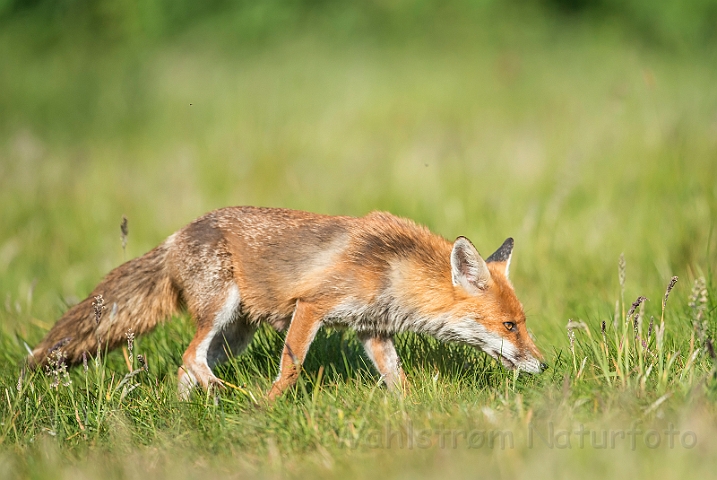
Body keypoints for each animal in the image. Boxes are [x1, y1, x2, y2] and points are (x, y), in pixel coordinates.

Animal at [28, 208, 544, 400]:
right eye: (510, 326)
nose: (543, 364)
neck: (390, 269)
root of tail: (176, 236)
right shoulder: (311, 306)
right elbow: (291, 369)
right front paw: (270, 406)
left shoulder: (373, 331)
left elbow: (399, 380)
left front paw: (412, 412)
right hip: (219, 312)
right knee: (190, 356)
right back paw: (221, 393)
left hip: (234, 336)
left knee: (185, 365)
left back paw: (187, 415)